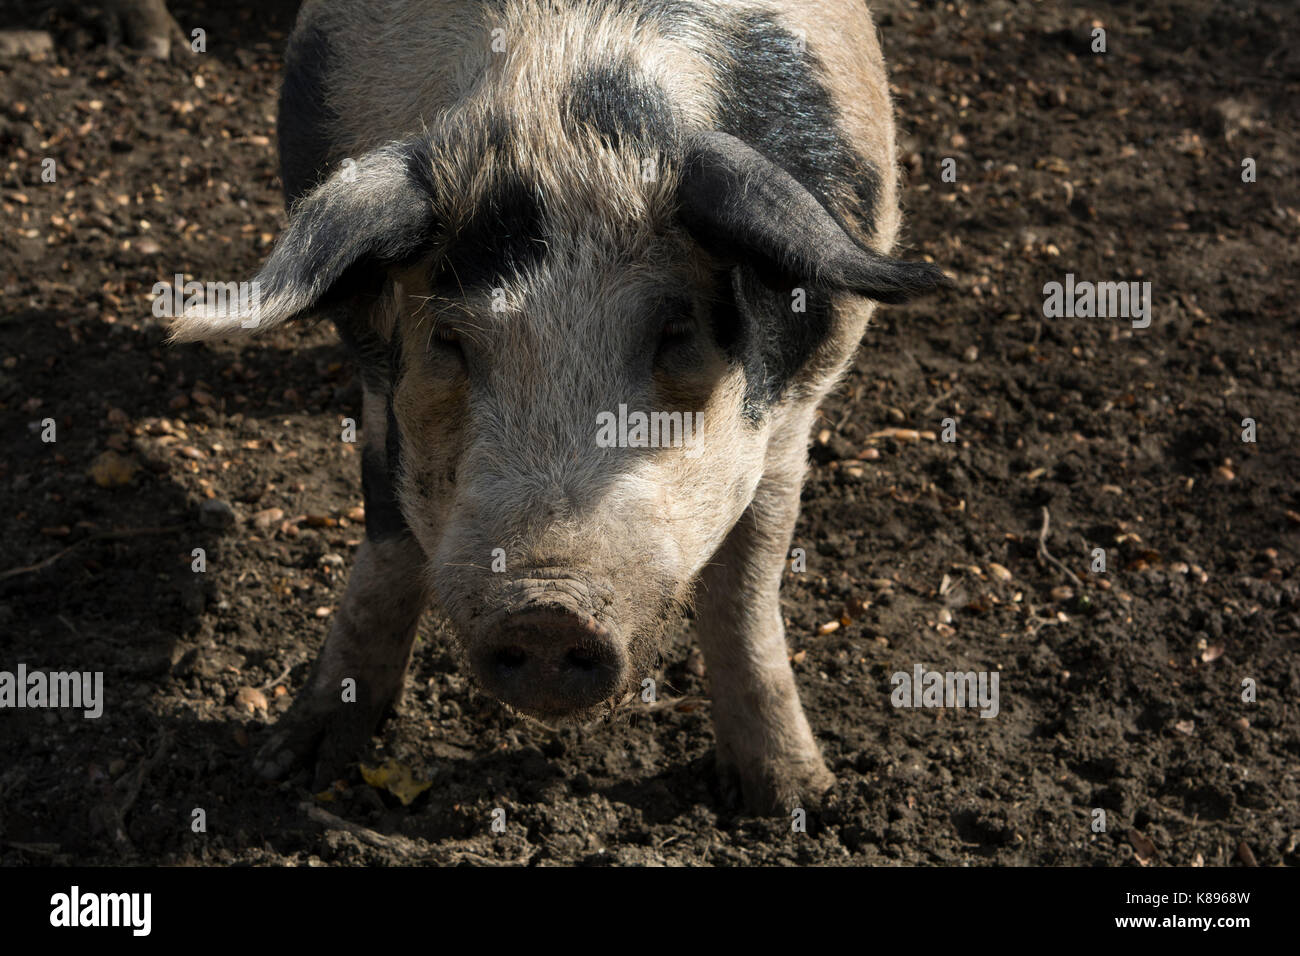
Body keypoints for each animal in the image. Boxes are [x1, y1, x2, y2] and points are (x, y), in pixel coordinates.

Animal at [172, 0, 946, 816]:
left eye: (676, 331)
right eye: (450, 338)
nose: (546, 609)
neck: (561, 71)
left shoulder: (804, 394)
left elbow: (746, 583)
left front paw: (795, 800)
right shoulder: (379, 380)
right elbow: (387, 541)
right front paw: (292, 769)